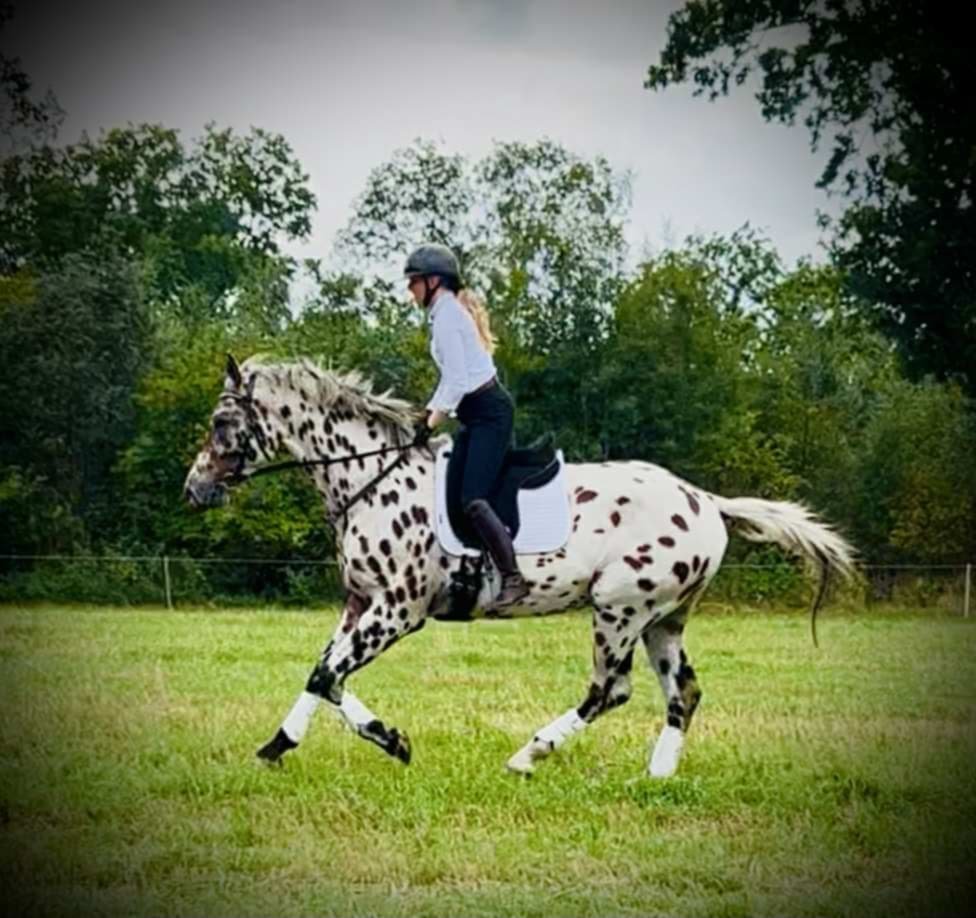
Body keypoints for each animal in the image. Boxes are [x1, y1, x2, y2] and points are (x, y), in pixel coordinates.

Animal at [183, 354, 856, 777]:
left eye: (221, 422)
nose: (194, 489)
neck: (372, 477)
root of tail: (706, 501)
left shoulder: (399, 610)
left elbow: (328, 676)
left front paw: (392, 743)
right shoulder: (361, 604)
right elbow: (322, 673)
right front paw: (279, 746)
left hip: (619, 608)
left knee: (610, 690)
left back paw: (527, 756)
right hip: (664, 619)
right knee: (682, 693)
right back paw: (657, 775)